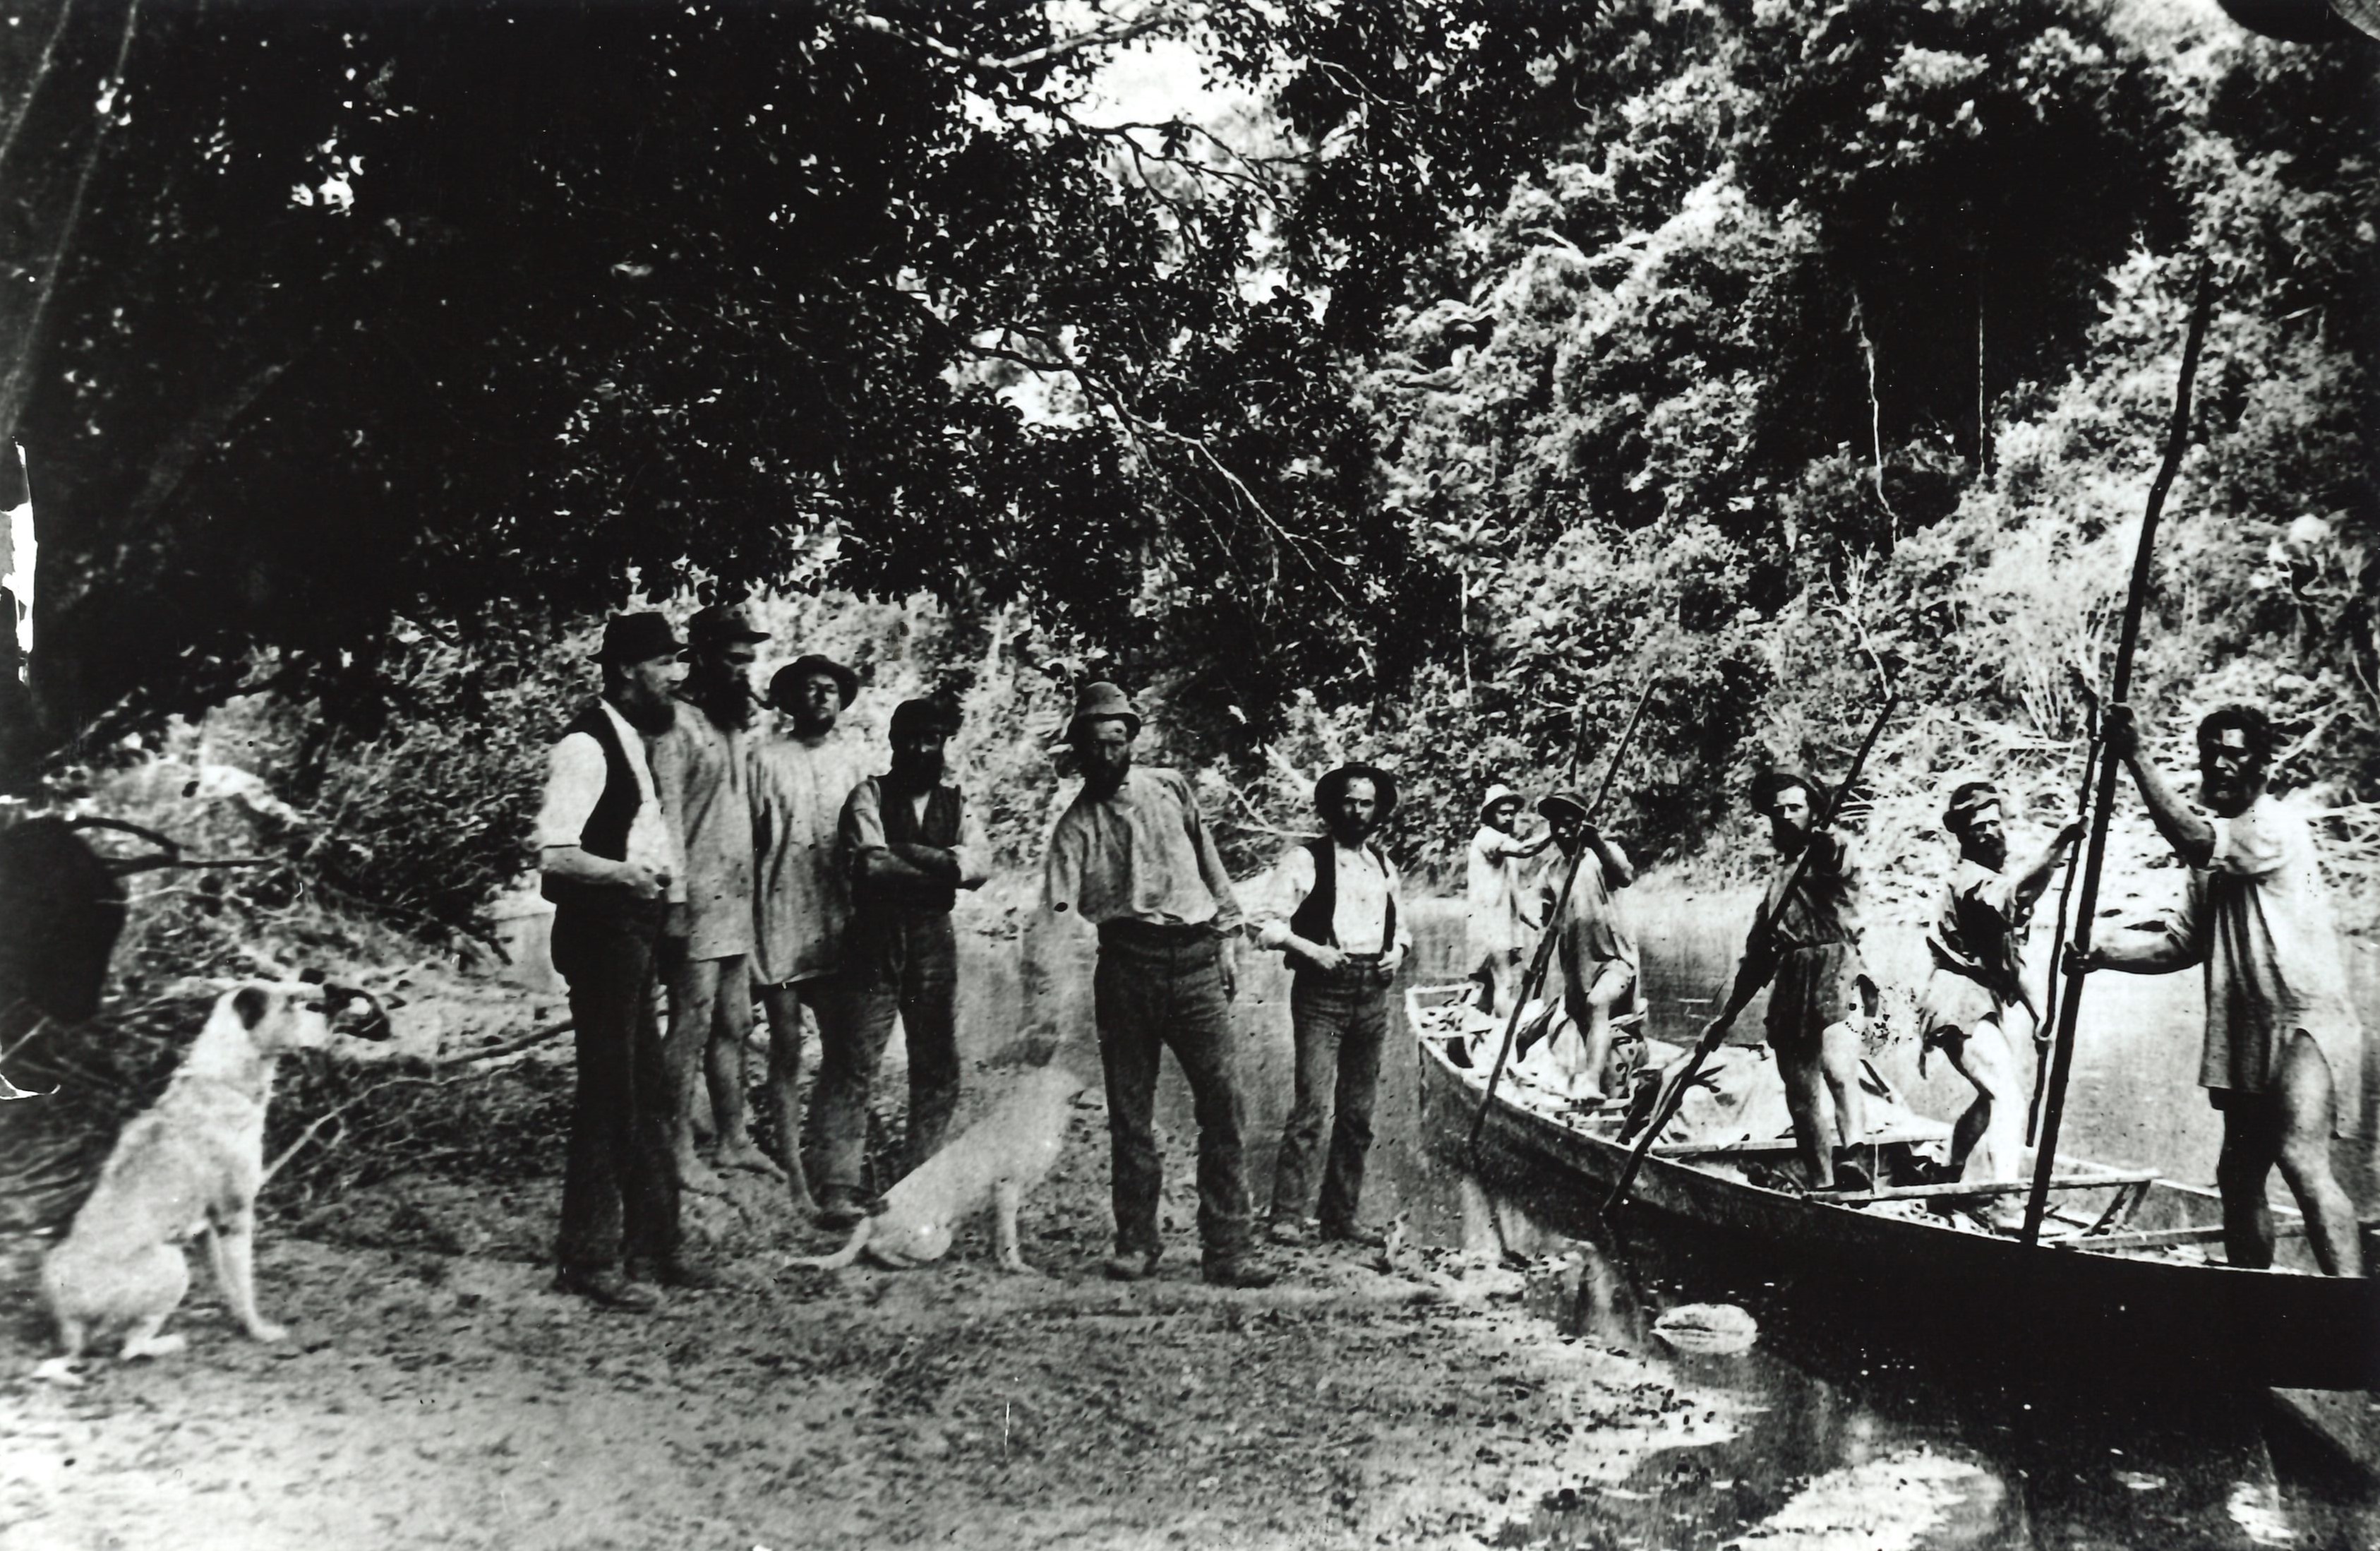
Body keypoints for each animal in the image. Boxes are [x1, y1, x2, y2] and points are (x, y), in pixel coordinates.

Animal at [33, 975, 390, 1389]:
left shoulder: (211, 1226)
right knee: (130, 1347)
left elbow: (228, 1282)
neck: (220, 1078)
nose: (333, 1005)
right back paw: (167, 1343)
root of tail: (71, 1322)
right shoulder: (235, 1217)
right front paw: (258, 1330)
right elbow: (244, 1283)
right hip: (172, 1263)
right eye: (295, 1003)